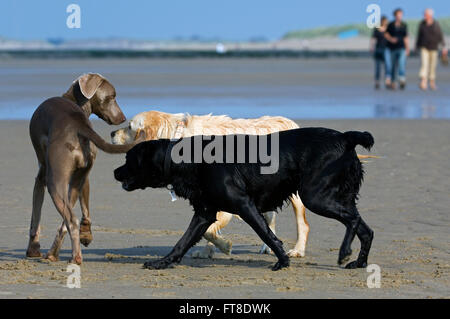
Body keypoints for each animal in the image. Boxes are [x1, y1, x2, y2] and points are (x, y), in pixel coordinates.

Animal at [28, 73, 141, 264]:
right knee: (66, 222)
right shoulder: (84, 177)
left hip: (55, 181)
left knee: (70, 220)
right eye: (111, 97)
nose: (122, 118)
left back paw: (75, 257)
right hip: (76, 179)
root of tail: (78, 125)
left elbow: (35, 216)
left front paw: (33, 249)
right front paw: (86, 235)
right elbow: (85, 209)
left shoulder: (41, 176)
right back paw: (54, 253)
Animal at [111, 111, 310, 258]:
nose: (112, 133)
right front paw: (208, 251)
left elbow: (208, 230)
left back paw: (297, 250)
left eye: (129, 126)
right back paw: (267, 247)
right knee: (269, 218)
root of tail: (291, 123)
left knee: (302, 224)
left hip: (296, 196)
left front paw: (224, 246)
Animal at [114, 127, 374, 270]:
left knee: (353, 221)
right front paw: (162, 263)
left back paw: (344, 252)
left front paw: (282, 261)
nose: (115, 172)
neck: (189, 158)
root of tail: (346, 138)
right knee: (366, 229)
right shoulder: (204, 213)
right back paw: (359, 263)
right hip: (334, 197)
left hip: (315, 196)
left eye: (128, 159)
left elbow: (268, 236)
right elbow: (182, 242)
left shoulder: (245, 205)